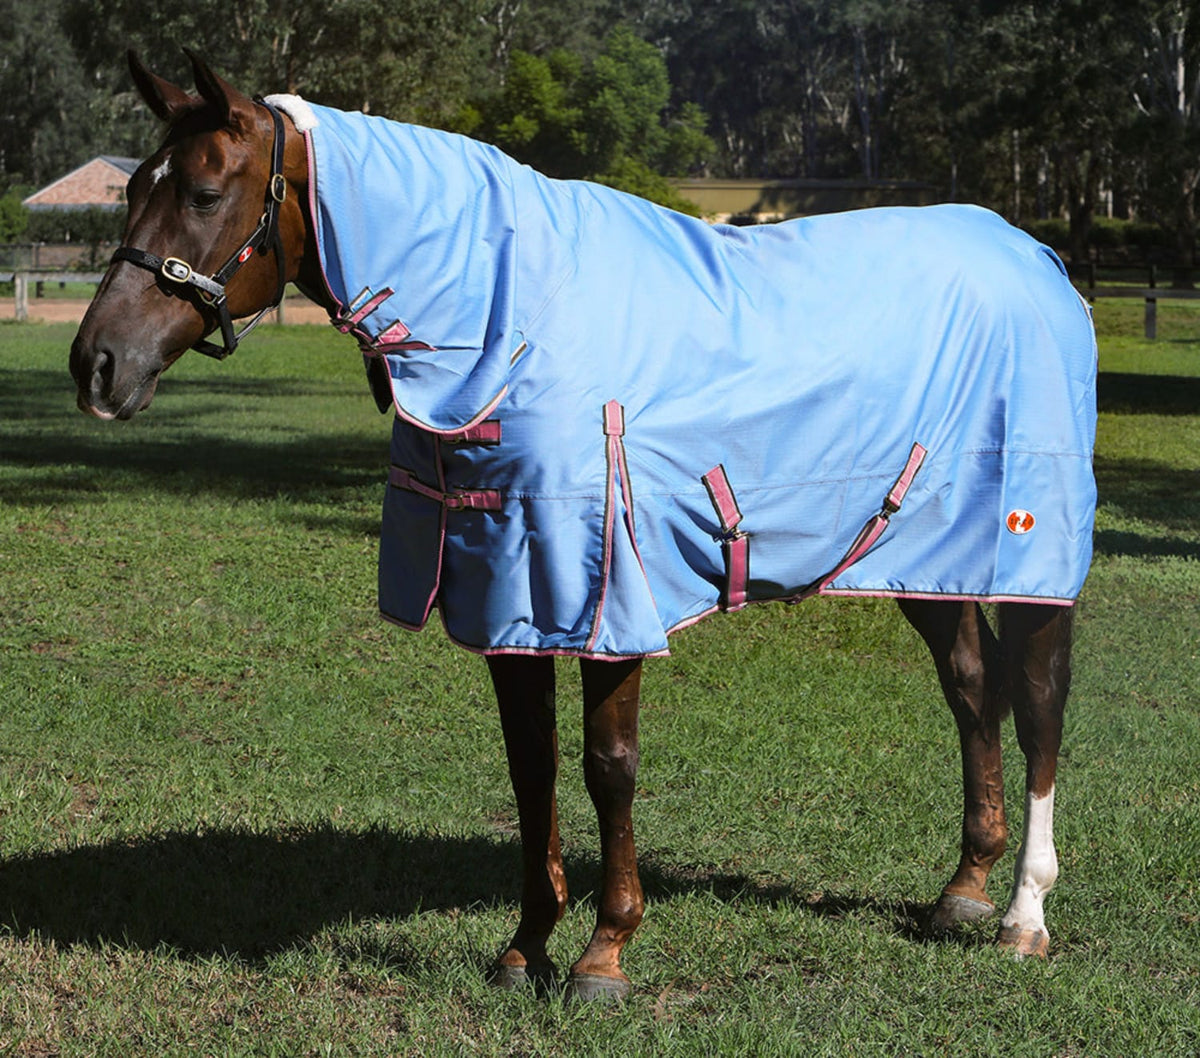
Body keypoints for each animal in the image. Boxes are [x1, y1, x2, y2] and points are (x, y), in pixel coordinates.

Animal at [70, 52, 1096, 1001]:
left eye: (204, 192)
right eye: (132, 188)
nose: (97, 364)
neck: (512, 319)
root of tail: (1036, 258)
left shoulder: (607, 594)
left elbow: (609, 766)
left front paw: (605, 954)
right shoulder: (505, 595)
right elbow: (532, 768)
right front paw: (525, 947)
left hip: (1031, 555)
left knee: (1040, 708)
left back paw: (1022, 916)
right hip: (923, 558)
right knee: (972, 687)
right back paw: (962, 889)